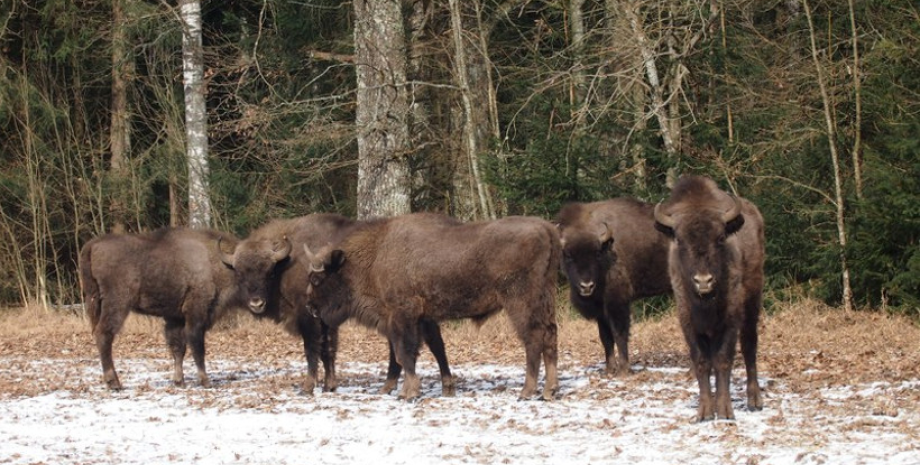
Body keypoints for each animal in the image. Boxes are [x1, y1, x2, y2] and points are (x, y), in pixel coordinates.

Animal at [79, 227, 243, 390]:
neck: (216, 262)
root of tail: (93, 244)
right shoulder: (196, 314)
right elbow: (197, 347)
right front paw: (205, 381)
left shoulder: (175, 318)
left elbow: (178, 348)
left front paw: (179, 381)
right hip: (117, 304)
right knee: (104, 334)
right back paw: (114, 383)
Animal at [220, 214, 456, 396]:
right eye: (239, 273)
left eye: (268, 271)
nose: (256, 302)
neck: (287, 263)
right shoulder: (325, 321)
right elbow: (328, 350)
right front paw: (329, 386)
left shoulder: (309, 319)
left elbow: (312, 350)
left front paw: (307, 387)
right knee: (432, 344)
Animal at [302, 213, 560, 398]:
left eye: (316, 279)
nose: (309, 305)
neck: (375, 256)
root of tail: (547, 229)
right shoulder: (424, 319)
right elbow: (435, 349)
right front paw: (446, 389)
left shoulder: (402, 314)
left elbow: (403, 352)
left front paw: (409, 393)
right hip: (545, 302)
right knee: (550, 336)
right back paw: (549, 390)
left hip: (519, 302)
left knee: (533, 338)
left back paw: (527, 391)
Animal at [552, 198, 668, 376]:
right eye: (568, 255)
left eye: (597, 253)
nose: (586, 286)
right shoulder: (601, 311)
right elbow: (605, 338)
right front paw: (609, 369)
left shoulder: (617, 304)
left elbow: (619, 334)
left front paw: (623, 370)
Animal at [656, 174, 768, 420]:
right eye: (679, 240)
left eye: (720, 238)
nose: (703, 281)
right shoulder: (688, 322)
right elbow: (702, 362)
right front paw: (705, 412)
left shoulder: (730, 320)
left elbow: (723, 360)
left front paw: (725, 411)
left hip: (753, 301)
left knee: (749, 346)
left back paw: (754, 400)